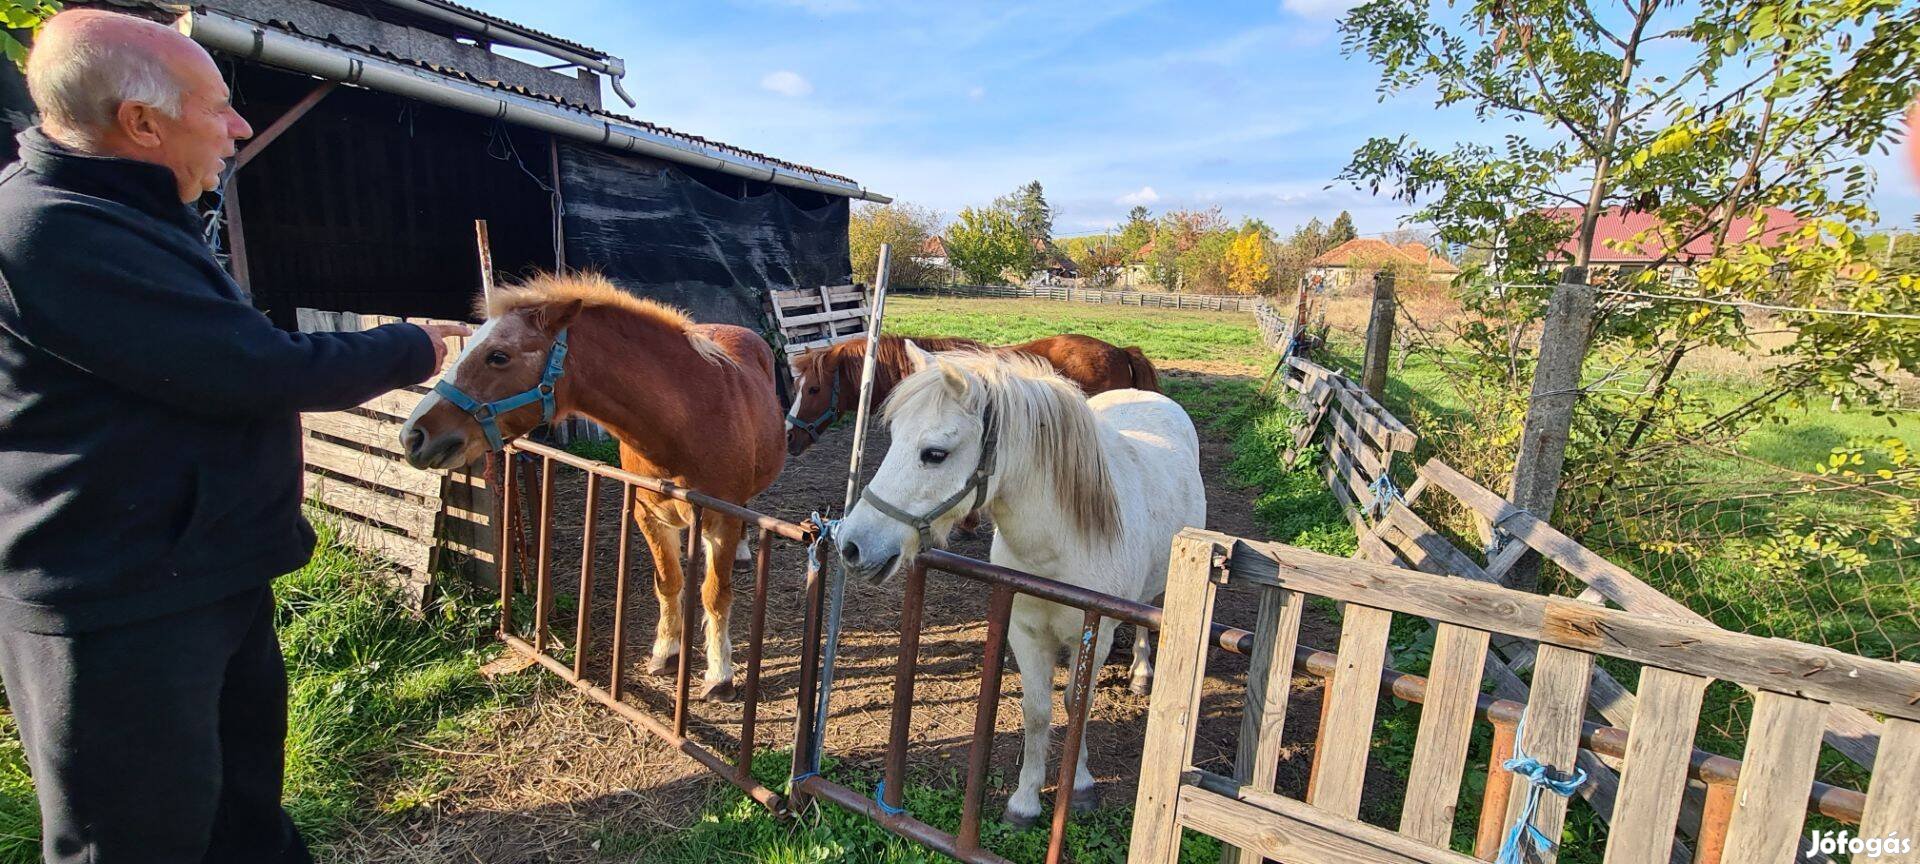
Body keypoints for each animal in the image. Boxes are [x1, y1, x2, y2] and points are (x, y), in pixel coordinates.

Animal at [401, 272, 783, 698]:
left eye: (498, 356)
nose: (413, 436)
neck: (687, 421)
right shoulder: (649, 516)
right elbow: (669, 582)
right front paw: (666, 652)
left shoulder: (720, 521)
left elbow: (715, 595)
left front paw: (720, 675)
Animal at [837, 341, 1205, 821]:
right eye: (895, 436)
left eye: (934, 453)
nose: (850, 546)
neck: (1057, 548)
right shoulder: (1025, 633)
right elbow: (1037, 711)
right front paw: (1025, 800)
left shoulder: (1095, 635)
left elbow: (1077, 706)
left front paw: (1080, 785)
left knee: (1149, 615)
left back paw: (1143, 671)